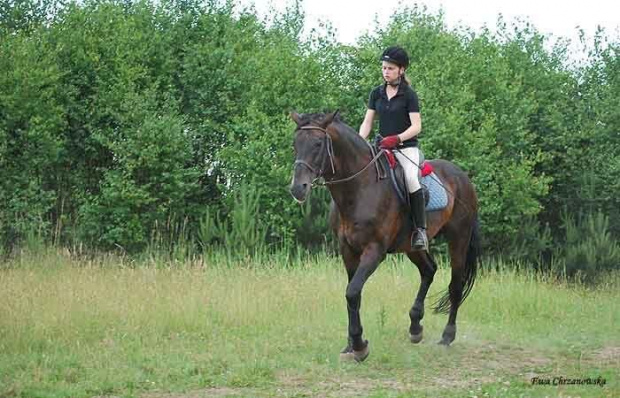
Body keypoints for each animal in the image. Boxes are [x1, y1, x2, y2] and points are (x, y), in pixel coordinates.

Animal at [290, 110, 480, 362]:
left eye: (318, 143)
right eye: (295, 144)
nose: (297, 188)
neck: (359, 188)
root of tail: (463, 177)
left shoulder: (375, 250)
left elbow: (352, 292)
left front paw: (359, 346)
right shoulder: (347, 249)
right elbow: (353, 294)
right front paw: (351, 346)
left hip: (459, 237)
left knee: (456, 284)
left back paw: (447, 337)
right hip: (412, 246)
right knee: (428, 270)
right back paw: (415, 327)